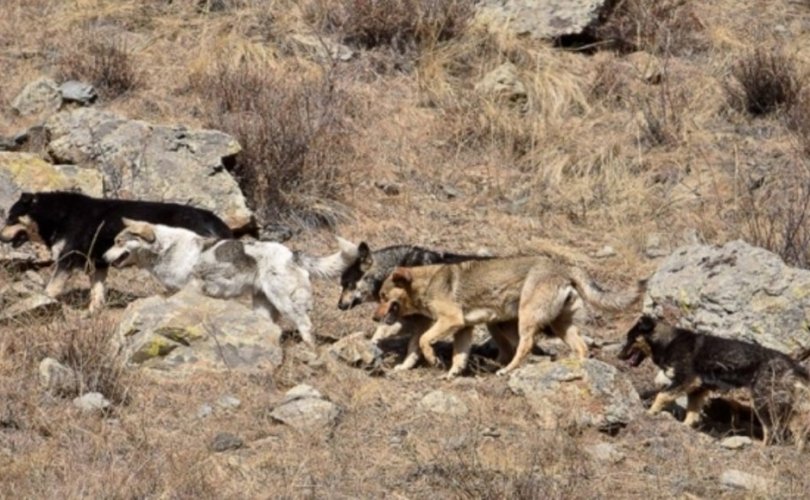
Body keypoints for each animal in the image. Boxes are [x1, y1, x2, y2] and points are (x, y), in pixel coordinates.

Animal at [103, 219, 356, 348]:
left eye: (118, 242)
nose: (102, 259)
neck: (165, 248)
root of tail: (292, 254)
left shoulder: (191, 289)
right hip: (263, 307)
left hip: (285, 302)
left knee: (306, 326)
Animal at [374, 256, 644, 376]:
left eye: (383, 297)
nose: (375, 319)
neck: (426, 283)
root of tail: (565, 266)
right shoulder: (463, 329)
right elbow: (459, 356)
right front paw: (452, 374)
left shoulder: (452, 321)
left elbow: (423, 341)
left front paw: (433, 361)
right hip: (551, 326)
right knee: (580, 348)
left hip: (524, 319)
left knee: (526, 346)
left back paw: (507, 370)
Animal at [620, 316, 804, 446]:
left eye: (630, 338)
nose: (618, 356)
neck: (668, 341)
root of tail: (790, 362)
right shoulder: (697, 389)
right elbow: (692, 412)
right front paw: (685, 427)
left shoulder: (685, 380)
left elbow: (662, 396)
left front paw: (650, 412)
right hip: (779, 401)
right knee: (794, 424)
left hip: (763, 400)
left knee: (771, 429)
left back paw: (761, 448)